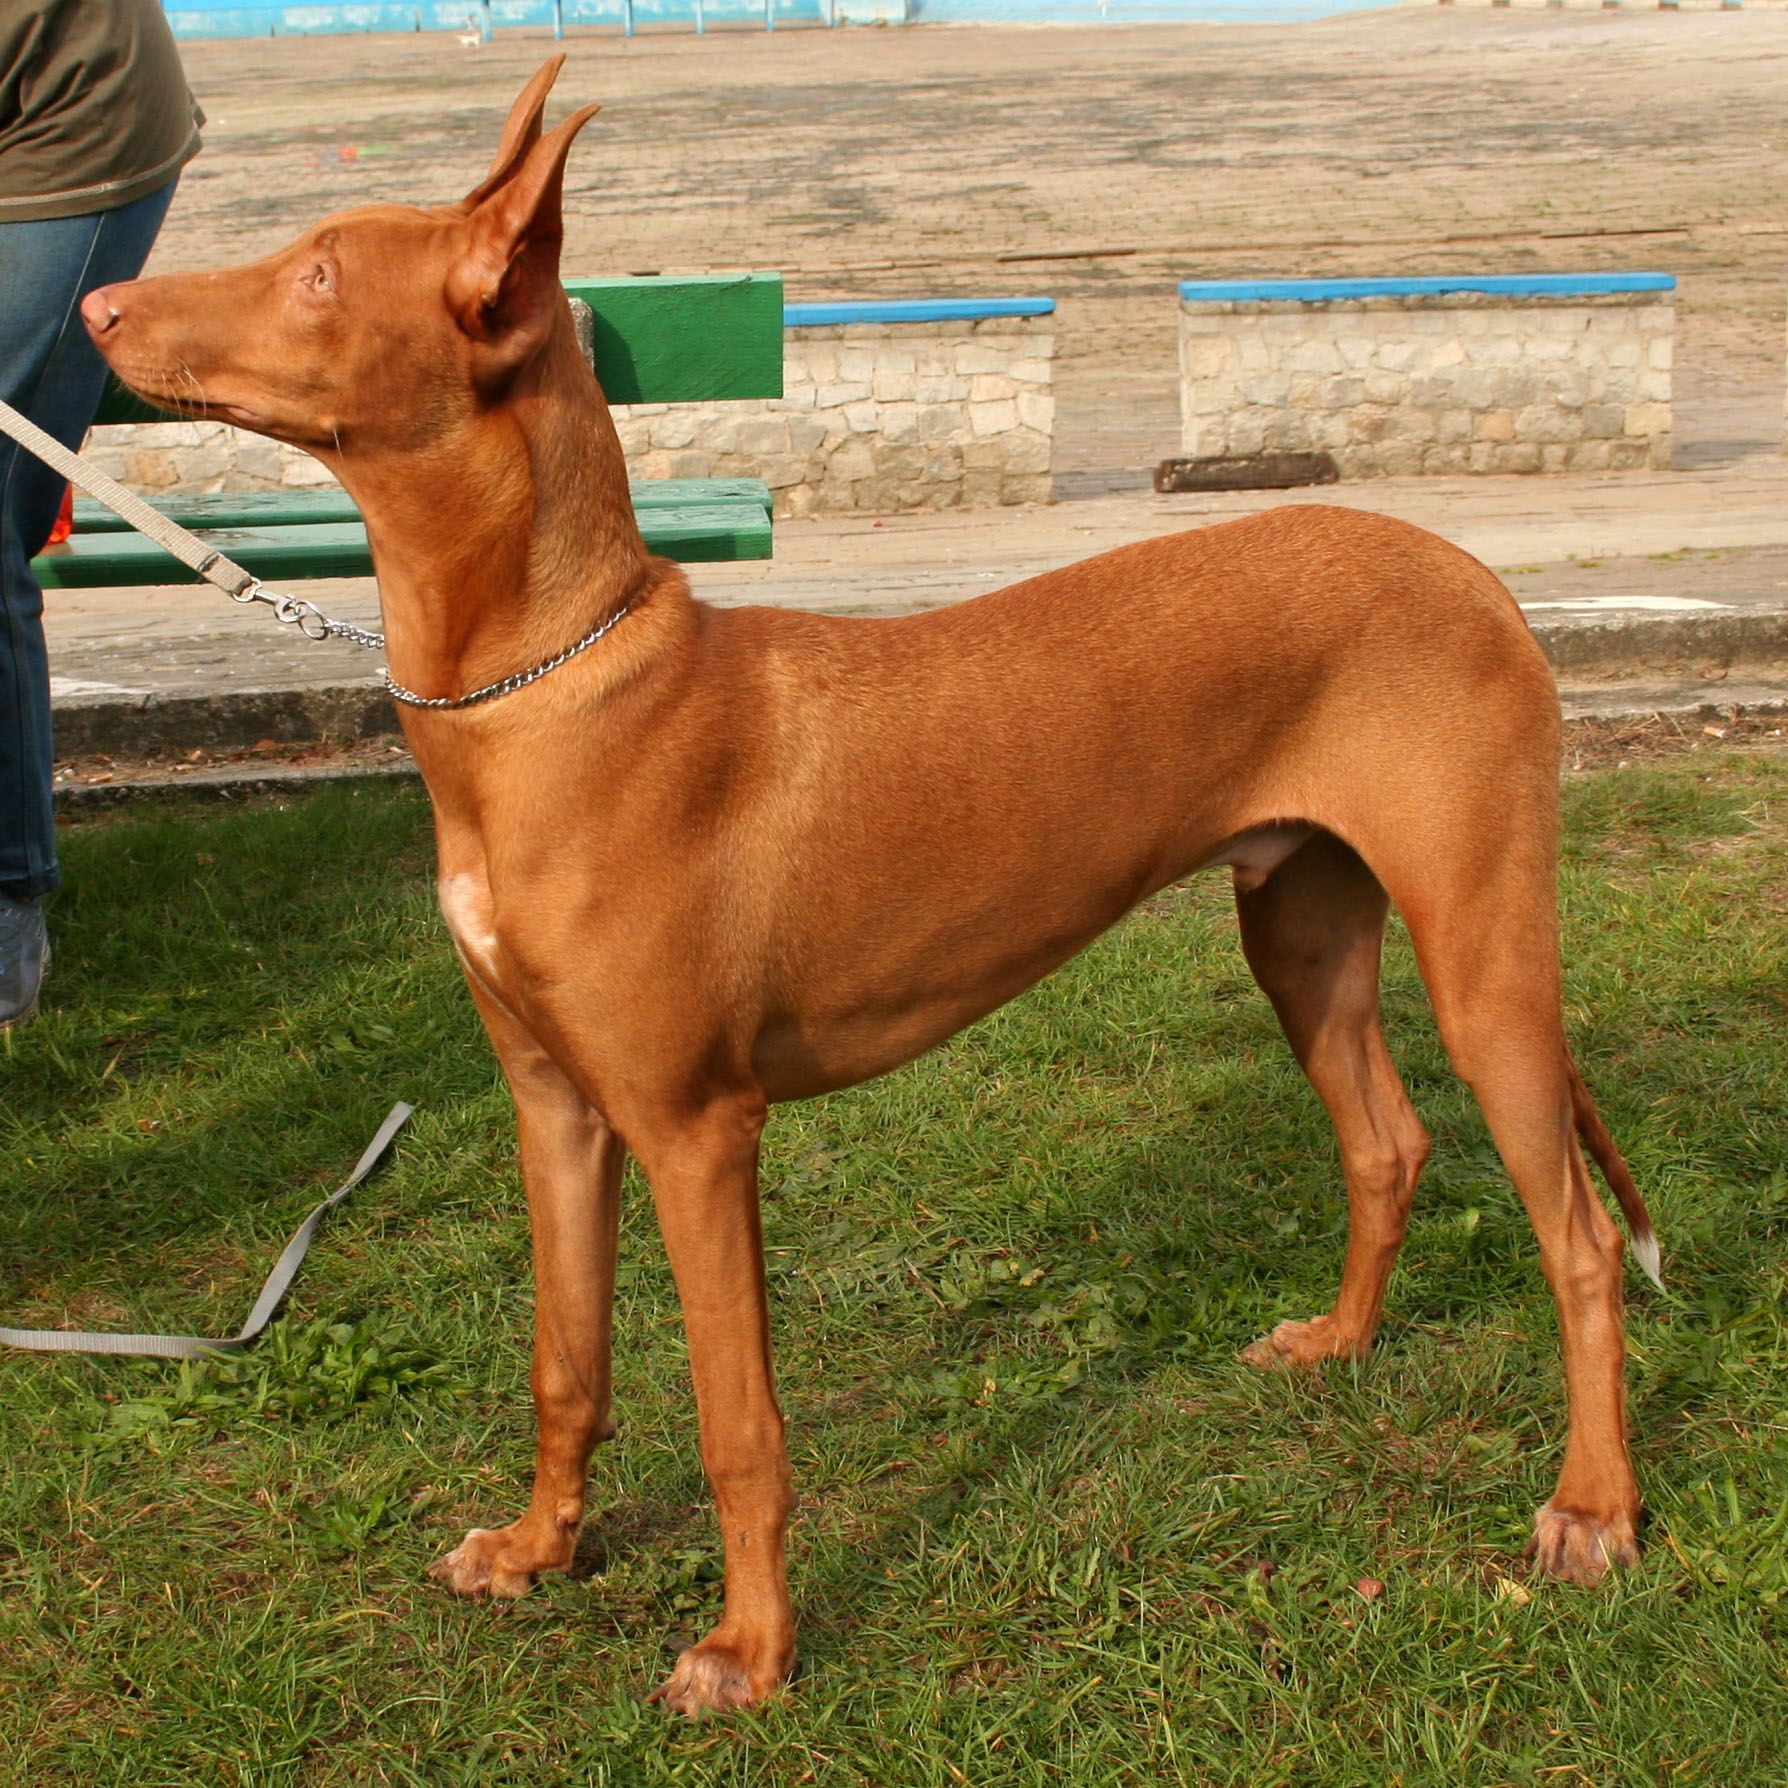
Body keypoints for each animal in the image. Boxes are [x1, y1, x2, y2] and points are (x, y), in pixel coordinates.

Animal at [80, 52, 1644, 1702]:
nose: (101, 305)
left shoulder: (699, 1131)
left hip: (1485, 961)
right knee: (1387, 1144)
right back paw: (1342, 1345)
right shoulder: (554, 1106)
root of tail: (1476, 575)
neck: (538, 696)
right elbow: (565, 1364)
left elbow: (738, 1426)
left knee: (1583, 1243)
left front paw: (750, 1648)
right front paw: (539, 1549)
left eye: (317, 273)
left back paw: (1596, 1509)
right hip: (1300, 932)